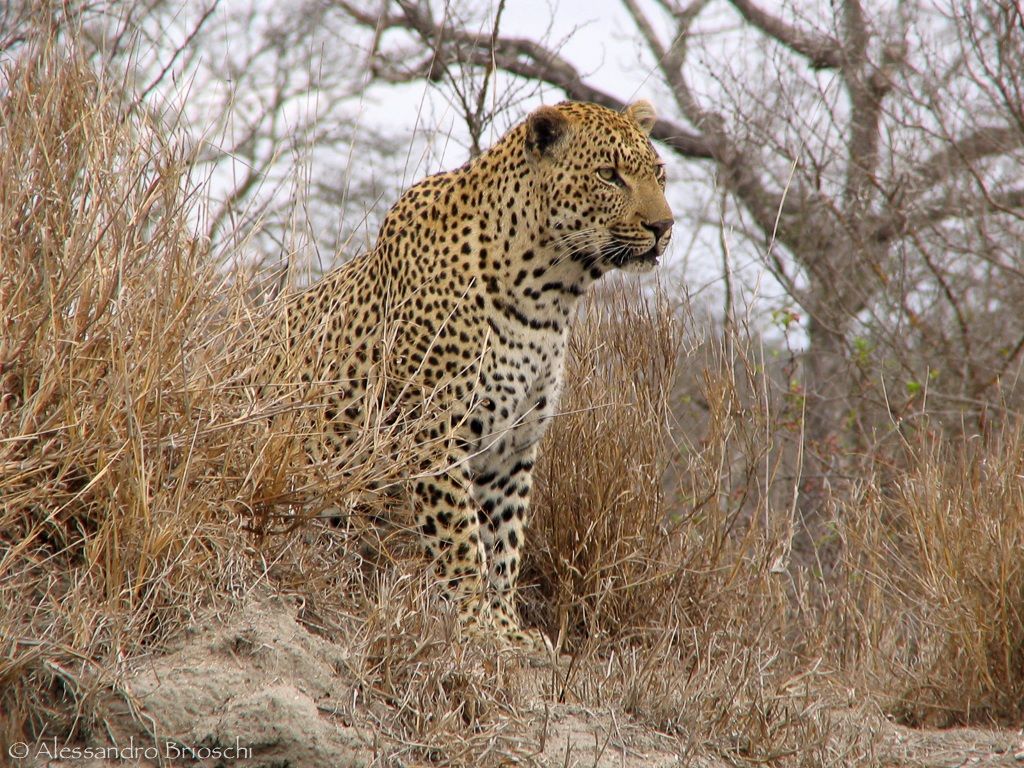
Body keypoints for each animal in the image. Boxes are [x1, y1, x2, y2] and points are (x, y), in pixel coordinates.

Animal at [256, 99, 673, 649]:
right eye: (609, 175)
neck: (549, 293)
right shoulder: (432, 434)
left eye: (659, 173)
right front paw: (475, 624)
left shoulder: (513, 447)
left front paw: (506, 629)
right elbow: (460, 538)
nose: (664, 226)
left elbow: (503, 543)